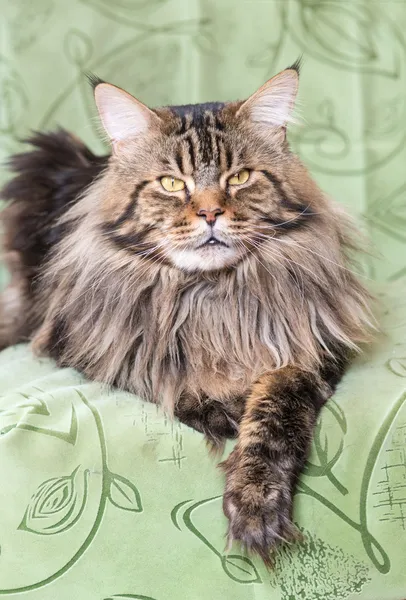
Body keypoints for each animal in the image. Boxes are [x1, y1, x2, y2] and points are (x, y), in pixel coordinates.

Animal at [0, 62, 372, 568]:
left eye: (239, 177)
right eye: (172, 184)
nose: (211, 213)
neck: (212, 297)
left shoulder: (311, 354)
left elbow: (274, 414)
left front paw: (256, 505)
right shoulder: (89, 344)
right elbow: (159, 373)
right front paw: (219, 411)